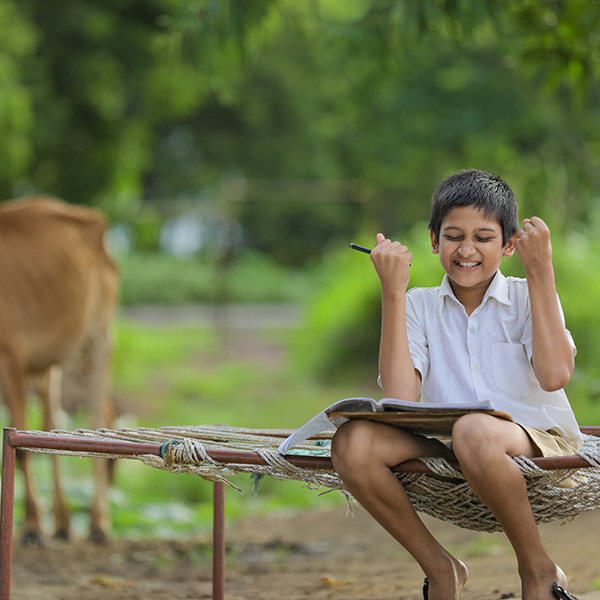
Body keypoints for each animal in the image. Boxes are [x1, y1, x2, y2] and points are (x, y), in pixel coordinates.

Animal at [0, 197, 118, 544]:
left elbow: (22, 450)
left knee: (99, 416)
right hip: (50, 363)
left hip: (99, 339)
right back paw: (64, 523)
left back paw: (97, 523)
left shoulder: (11, 357)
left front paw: (32, 526)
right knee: (53, 425)